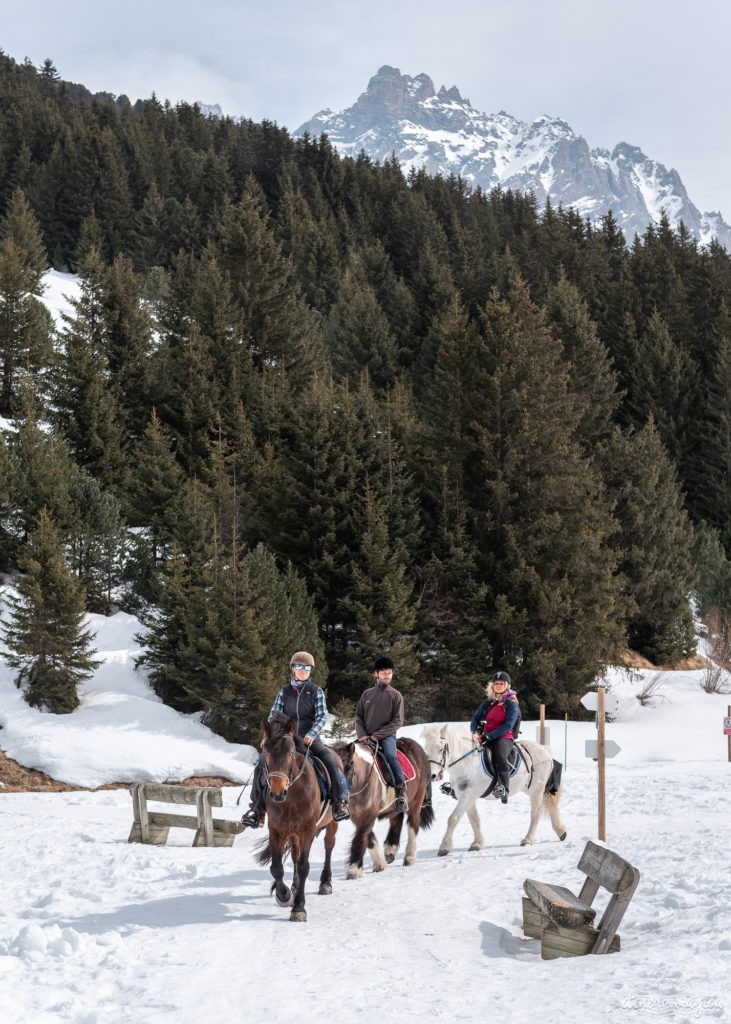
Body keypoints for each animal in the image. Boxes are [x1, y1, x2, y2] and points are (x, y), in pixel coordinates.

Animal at [254, 712, 337, 921]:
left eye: (290, 753)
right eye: (266, 752)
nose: (277, 793)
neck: (291, 795)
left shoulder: (308, 830)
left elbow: (304, 866)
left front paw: (299, 908)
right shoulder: (276, 830)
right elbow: (276, 867)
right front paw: (284, 895)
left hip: (331, 823)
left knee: (328, 846)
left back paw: (326, 883)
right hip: (293, 834)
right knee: (294, 855)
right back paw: (293, 886)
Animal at [329, 737, 432, 880]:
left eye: (348, 767)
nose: (339, 799)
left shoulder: (368, 814)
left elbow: (361, 837)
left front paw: (354, 870)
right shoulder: (357, 816)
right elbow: (369, 838)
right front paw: (380, 864)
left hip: (416, 802)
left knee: (413, 825)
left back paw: (409, 858)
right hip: (396, 806)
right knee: (397, 820)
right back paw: (390, 851)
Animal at [417, 720, 565, 856]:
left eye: (441, 748)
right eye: (426, 748)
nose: (432, 775)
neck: (467, 762)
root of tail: (544, 750)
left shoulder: (468, 796)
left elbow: (452, 819)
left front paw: (444, 847)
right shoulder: (466, 796)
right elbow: (475, 820)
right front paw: (477, 843)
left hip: (536, 789)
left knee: (536, 813)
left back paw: (528, 839)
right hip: (529, 788)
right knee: (549, 807)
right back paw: (561, 832)